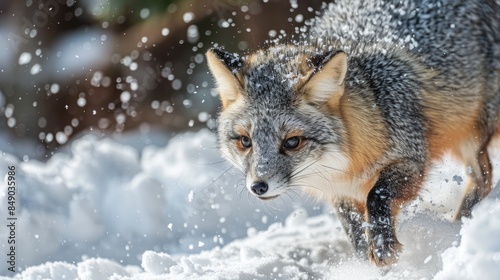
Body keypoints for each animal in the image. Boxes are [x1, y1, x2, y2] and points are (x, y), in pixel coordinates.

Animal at [205, 0, 498, 266]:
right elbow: (354, 231)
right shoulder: (340, 192)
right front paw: (363, 263)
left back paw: (461, 226)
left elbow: (377, 196)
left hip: (471, 138)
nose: (258, 186)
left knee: (483, 177)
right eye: (245, 141)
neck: (348, 162)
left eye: (292, 142)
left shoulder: (411, 159)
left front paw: (382, 246)